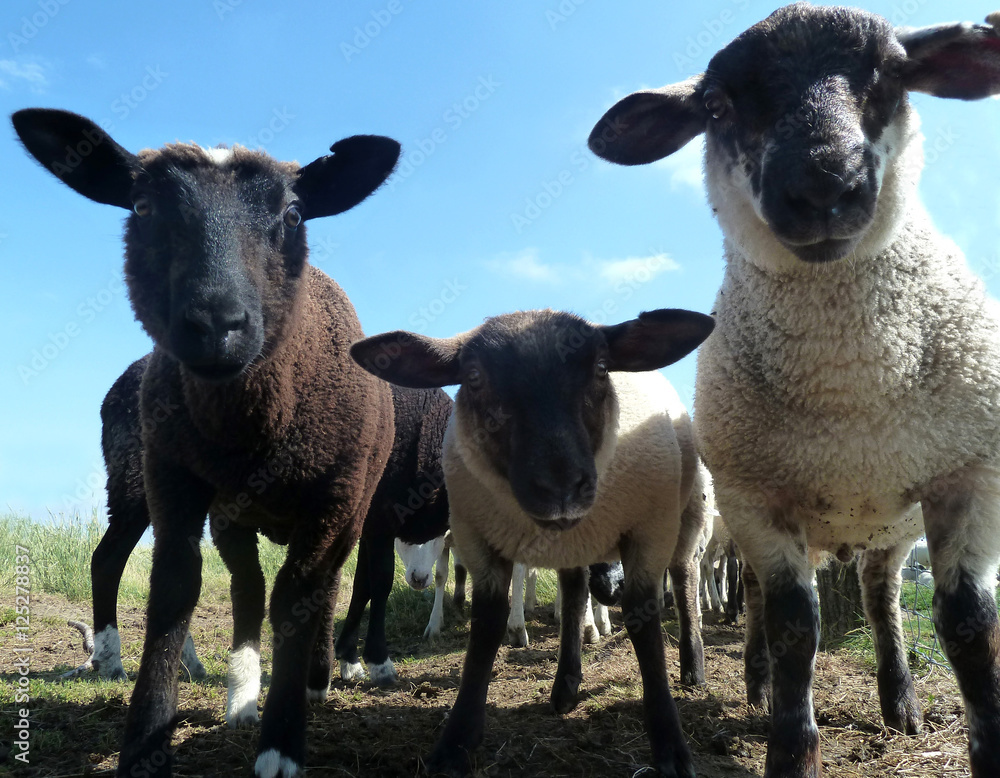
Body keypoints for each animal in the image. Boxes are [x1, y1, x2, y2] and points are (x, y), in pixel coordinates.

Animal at [13, 109, 398, 776]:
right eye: (141, 206)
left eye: (293, 214)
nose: (217, 325)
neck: (248, 429)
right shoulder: (175, 479)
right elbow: (174, 590)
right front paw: (145, 745)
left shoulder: (333, 500)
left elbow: (298, 597)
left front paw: (281, 746)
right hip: (154, 484)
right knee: (212, 579)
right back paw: (182, 679)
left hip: (338, 508)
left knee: (317, 588)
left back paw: (311, 679)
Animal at [336, 380, 454, 680]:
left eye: (440, 537)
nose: (419, 579)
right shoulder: (381, 521)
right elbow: (380, 582)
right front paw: (379, 661)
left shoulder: (370, 525)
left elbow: (362, 585)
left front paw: (349, 658)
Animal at [350, 306, 712, 772]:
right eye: (473, 377)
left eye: (601, 368)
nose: (560, 485)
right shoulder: (480, 539)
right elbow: (486, 627)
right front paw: (456, 741)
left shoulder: (648, 531)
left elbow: (643, 623)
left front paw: (669, 743)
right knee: (575, 595)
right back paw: (565, 687)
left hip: (686, 516)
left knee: (684, 581)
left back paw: (692, 668)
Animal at [588, 6, 1000, 776]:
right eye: (716, 106)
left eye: (892, 71)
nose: (822, 187)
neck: (849, 392)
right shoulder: (757, 496)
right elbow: (791, 628)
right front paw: (790, 747)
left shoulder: (972, 475)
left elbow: (968, 624)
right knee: (758, 603)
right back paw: (758, 687)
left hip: (888, 530)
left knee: (881, 600)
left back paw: (900, 704)